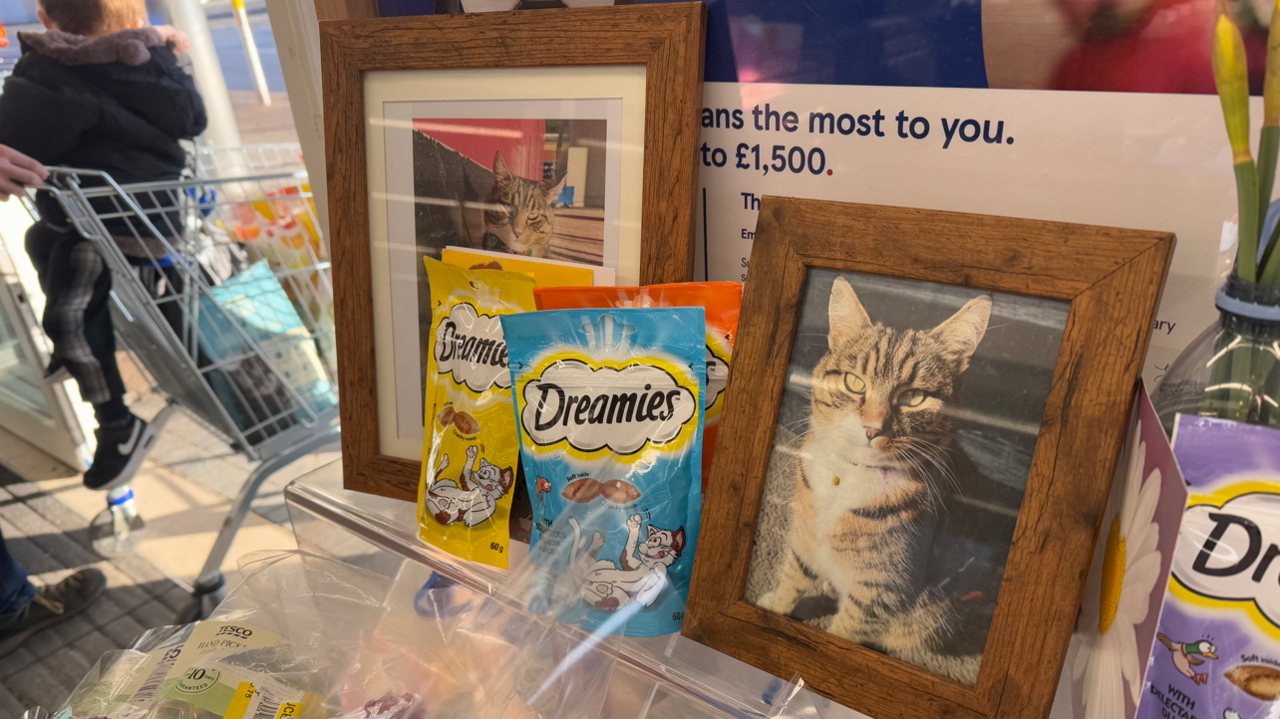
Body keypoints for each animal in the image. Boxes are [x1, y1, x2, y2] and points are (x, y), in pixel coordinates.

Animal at [752, 275, 1003, 680]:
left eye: (914, 397)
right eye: (855, 383)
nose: (872, 428)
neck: (851, 477)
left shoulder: (882, 589)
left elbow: (844, 631)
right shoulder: (804, 541)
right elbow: (793, 579)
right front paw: (774, 607)